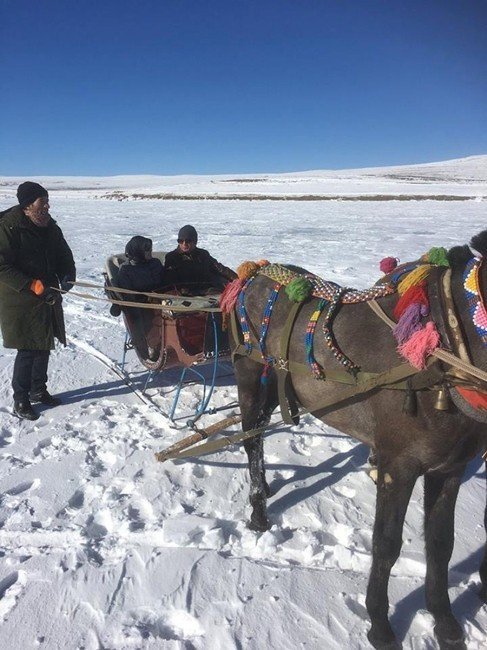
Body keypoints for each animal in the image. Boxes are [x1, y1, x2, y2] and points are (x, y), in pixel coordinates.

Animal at [228, 234, 487, 648]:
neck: (447, 351)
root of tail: (252, 273)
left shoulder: (450, 467)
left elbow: (440, 544)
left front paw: (445, 621)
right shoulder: (398, 467)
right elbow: (386, 545)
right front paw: (380, 625)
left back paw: (265, 488)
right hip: (250, 375)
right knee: (252, 439)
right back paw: (258, 512)